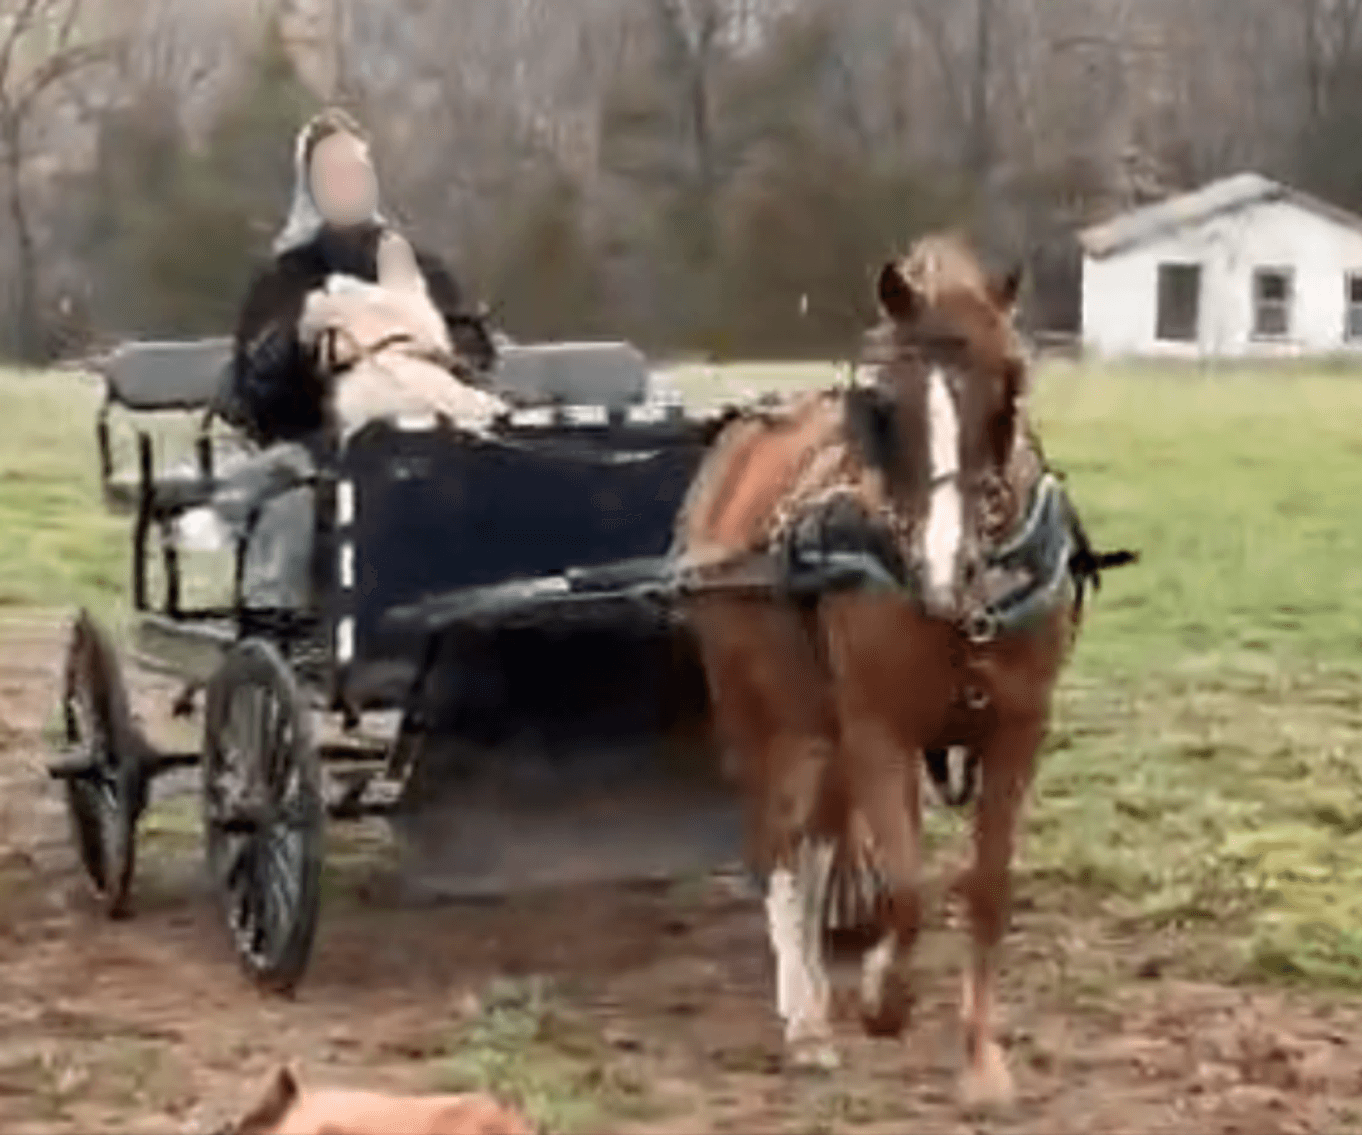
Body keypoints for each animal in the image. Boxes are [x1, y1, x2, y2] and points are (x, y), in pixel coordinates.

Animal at [673, 232, 1134, 1107]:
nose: (945, 565)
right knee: (779, 846)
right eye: (885, 403)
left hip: (824, 729)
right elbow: (906, 884)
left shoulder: (1018, 728)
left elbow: (984, 888)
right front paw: (883, 996)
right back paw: (807, 1018)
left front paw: (981, 1062)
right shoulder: (879, 729)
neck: (966, 608)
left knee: (817, 843)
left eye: (1011, 386)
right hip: (768, 714)